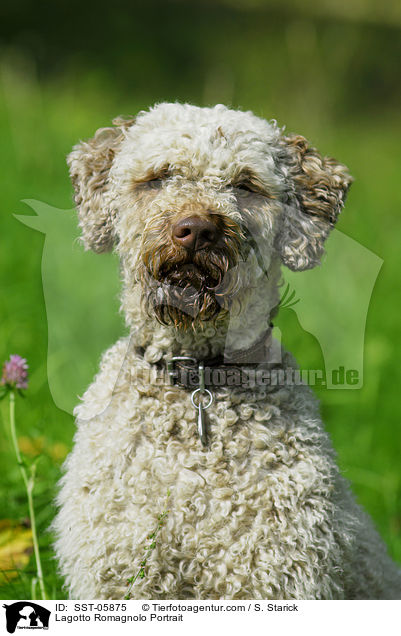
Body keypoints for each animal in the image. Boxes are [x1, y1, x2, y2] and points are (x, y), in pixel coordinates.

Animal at [53, 102, 400, 600]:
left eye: (246, 184)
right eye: (158, 177)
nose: (198, 230)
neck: (198, 379)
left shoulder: (275, 576)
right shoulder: (120, 573)